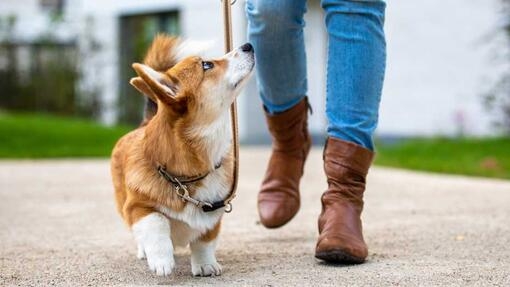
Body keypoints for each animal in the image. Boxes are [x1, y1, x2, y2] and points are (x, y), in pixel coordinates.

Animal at [111, 35, 255, 278]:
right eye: (207, 65)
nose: (248, 45)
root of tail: (145, 122)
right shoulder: (137, 207)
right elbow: (157, 222)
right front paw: (162, 261)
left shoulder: (214, 213)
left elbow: (204, 241)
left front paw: (206, 266)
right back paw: (144, 251)